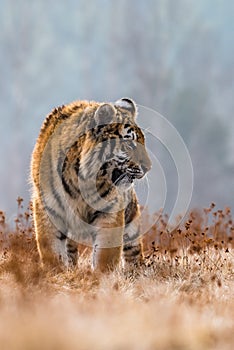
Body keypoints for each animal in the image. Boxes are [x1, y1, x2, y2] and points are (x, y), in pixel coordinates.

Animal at [30, 97, 152, 272]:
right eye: (130, 145)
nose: (149, 167)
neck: (83, 179)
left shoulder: (110, 211)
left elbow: (105, 256)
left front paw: (101, 276)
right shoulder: (47, 207)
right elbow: (51, 251)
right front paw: (55, 272)